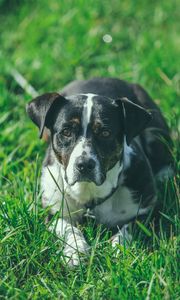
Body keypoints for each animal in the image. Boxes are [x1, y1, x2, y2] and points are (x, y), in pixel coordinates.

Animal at [26, 78, 173, 268]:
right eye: (66, 132)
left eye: (105, 132)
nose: (84, 165)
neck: (89, 193)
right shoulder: (53, 211)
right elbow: (69, 228)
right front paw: (76, 252)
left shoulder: (149, 211)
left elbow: (129, 228)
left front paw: (118, 248)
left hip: (155, 130)